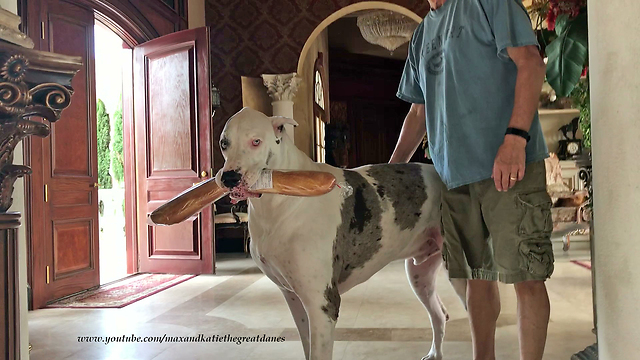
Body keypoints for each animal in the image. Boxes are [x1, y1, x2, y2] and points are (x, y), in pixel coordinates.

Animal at [215, 107, 464, 360]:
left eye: (256, 141)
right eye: (224, 143)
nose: (229, 177)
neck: (281, 202)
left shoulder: (323, 305)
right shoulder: (295, 300)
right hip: (419, 275)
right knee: (440, 314)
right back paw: (435, 354)